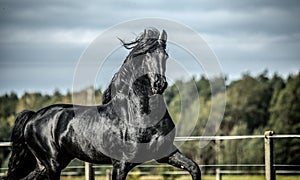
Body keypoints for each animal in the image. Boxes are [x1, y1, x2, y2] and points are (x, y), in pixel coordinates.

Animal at [5, 28, 200, 179]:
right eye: (145, 56)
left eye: (165, 56)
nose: (159, 84)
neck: (139, 117)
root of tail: (33, 116)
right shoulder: (120, 164)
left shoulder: (166, 153)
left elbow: (194, 168)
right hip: (52, 164)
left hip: (46, 165)